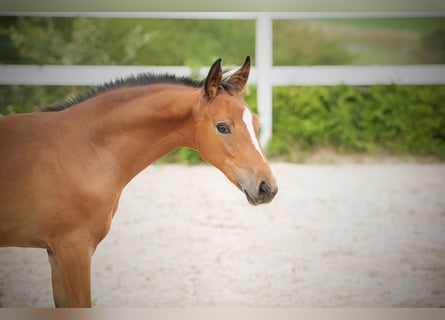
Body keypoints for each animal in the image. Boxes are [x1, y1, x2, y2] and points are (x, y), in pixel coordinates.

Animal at [0, 57, 276, 308]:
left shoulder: (56, 254)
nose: (267, 187)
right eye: (222, 127)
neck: (84, 148)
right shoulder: (72, 248)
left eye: (256, 123)